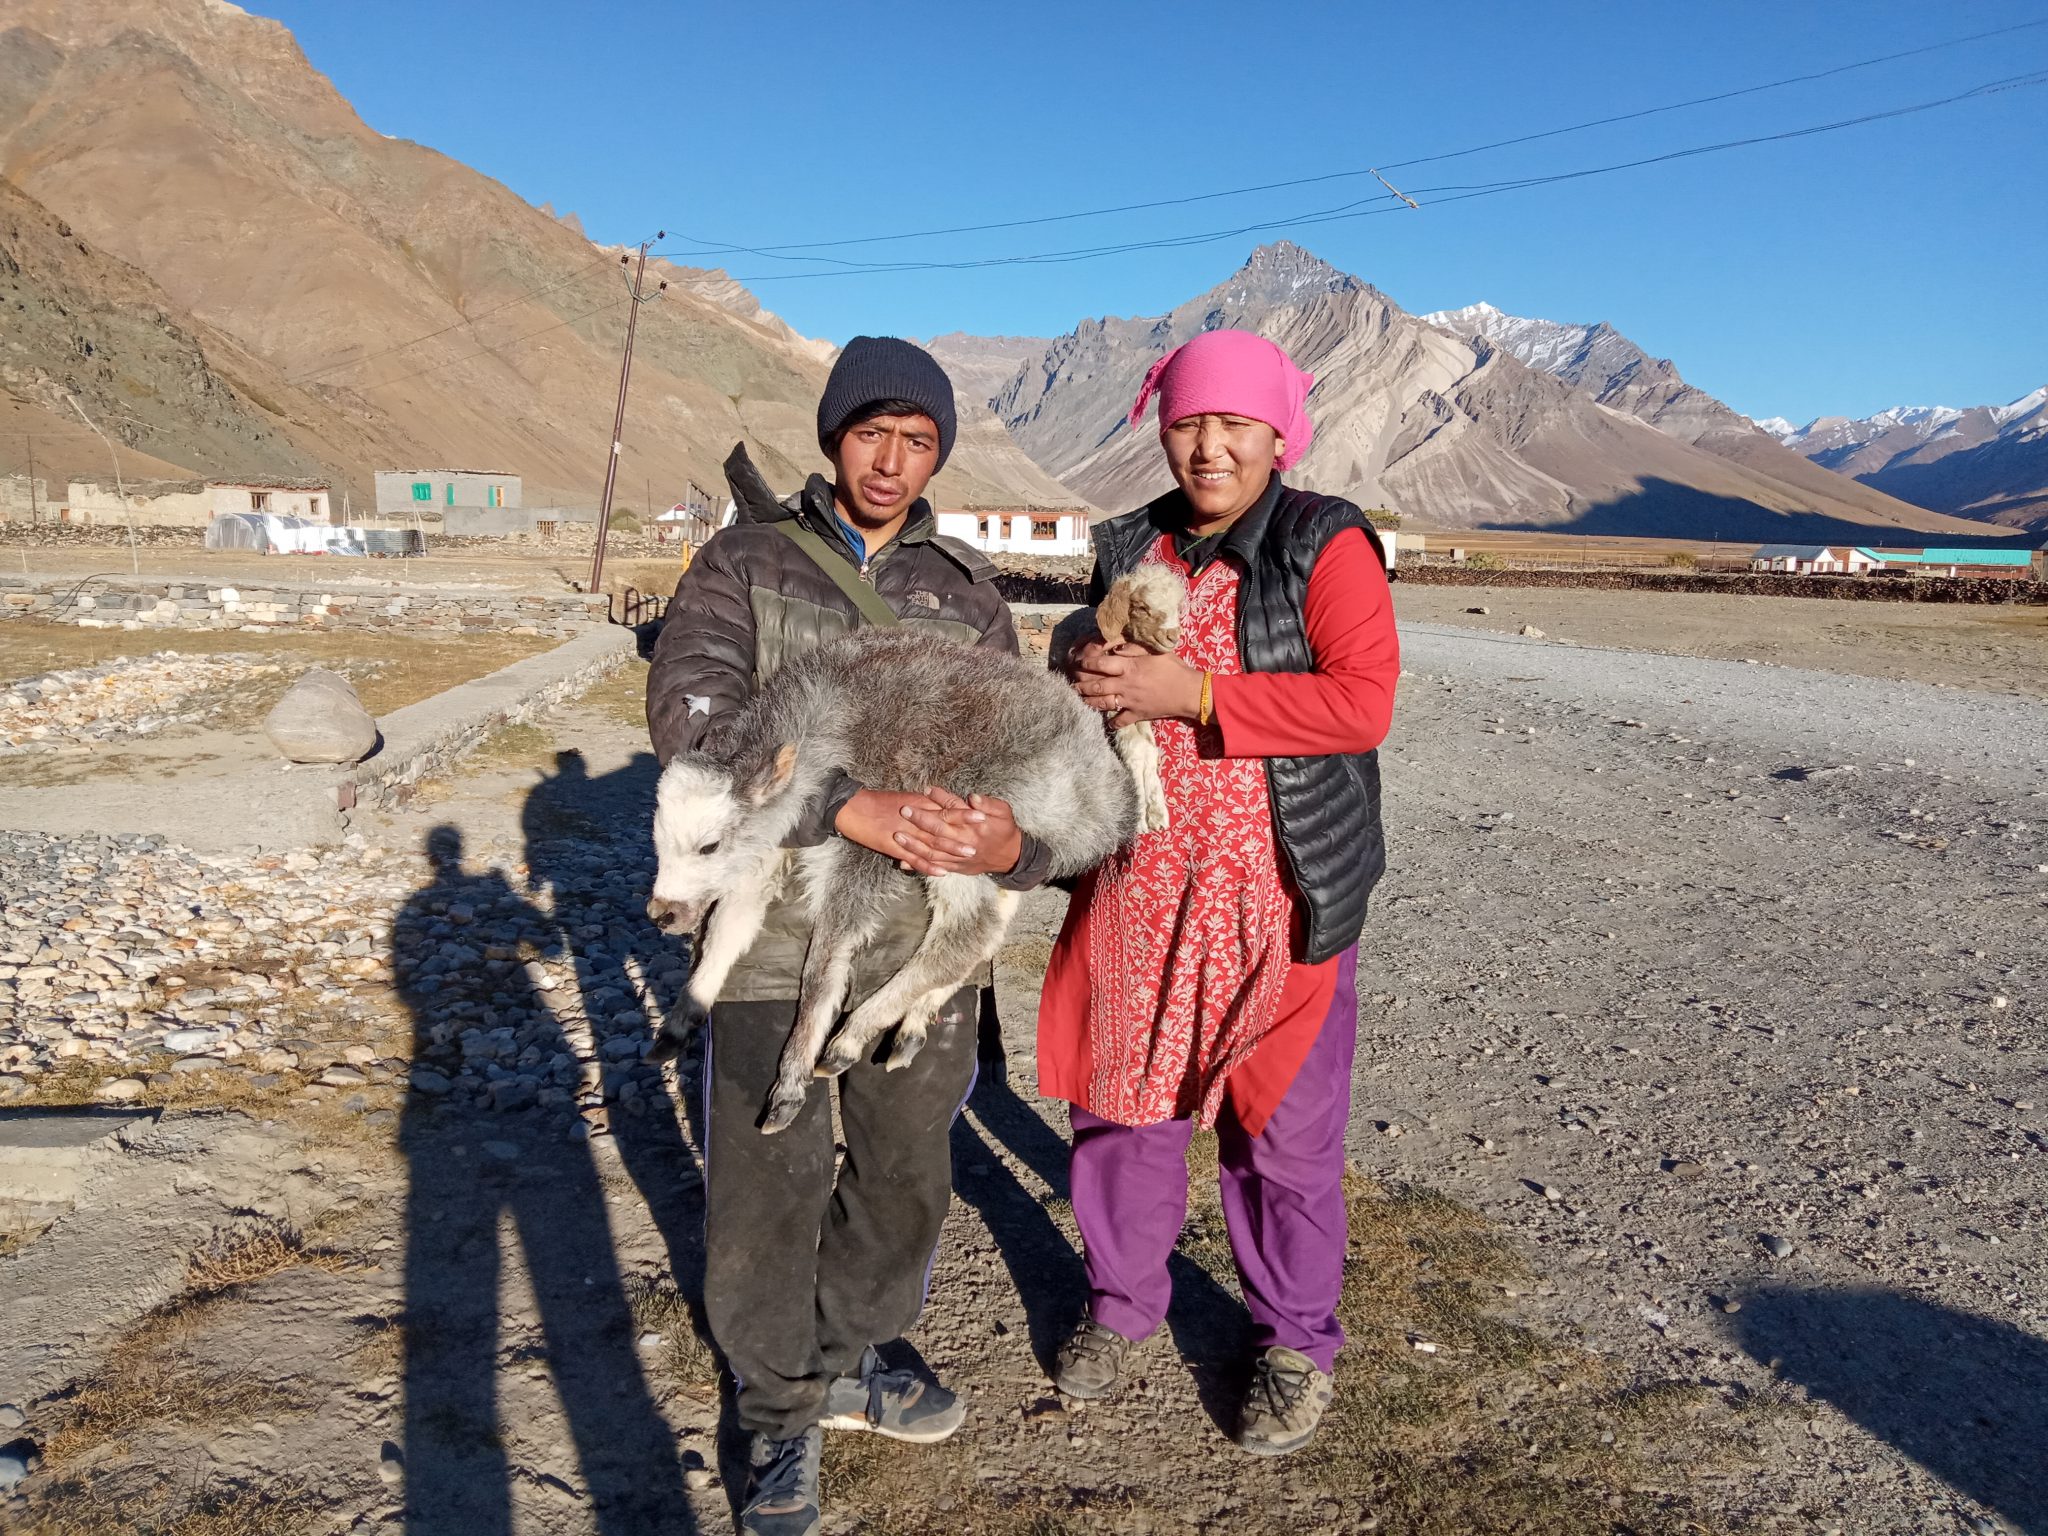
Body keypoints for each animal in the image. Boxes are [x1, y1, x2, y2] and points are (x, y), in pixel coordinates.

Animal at [646, 627, 1137, 1134]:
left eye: (708, 846)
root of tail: (1113, 800)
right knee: (983, 934)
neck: (828, 722)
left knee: (963, 936)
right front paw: (682, 1019)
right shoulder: (764, 850)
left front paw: (790, 1084)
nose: (661, 913)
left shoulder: (863, 854)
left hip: (970, 828)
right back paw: (911, 1026)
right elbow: (727, 930)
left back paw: (852, 1036)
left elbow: (822, 968)